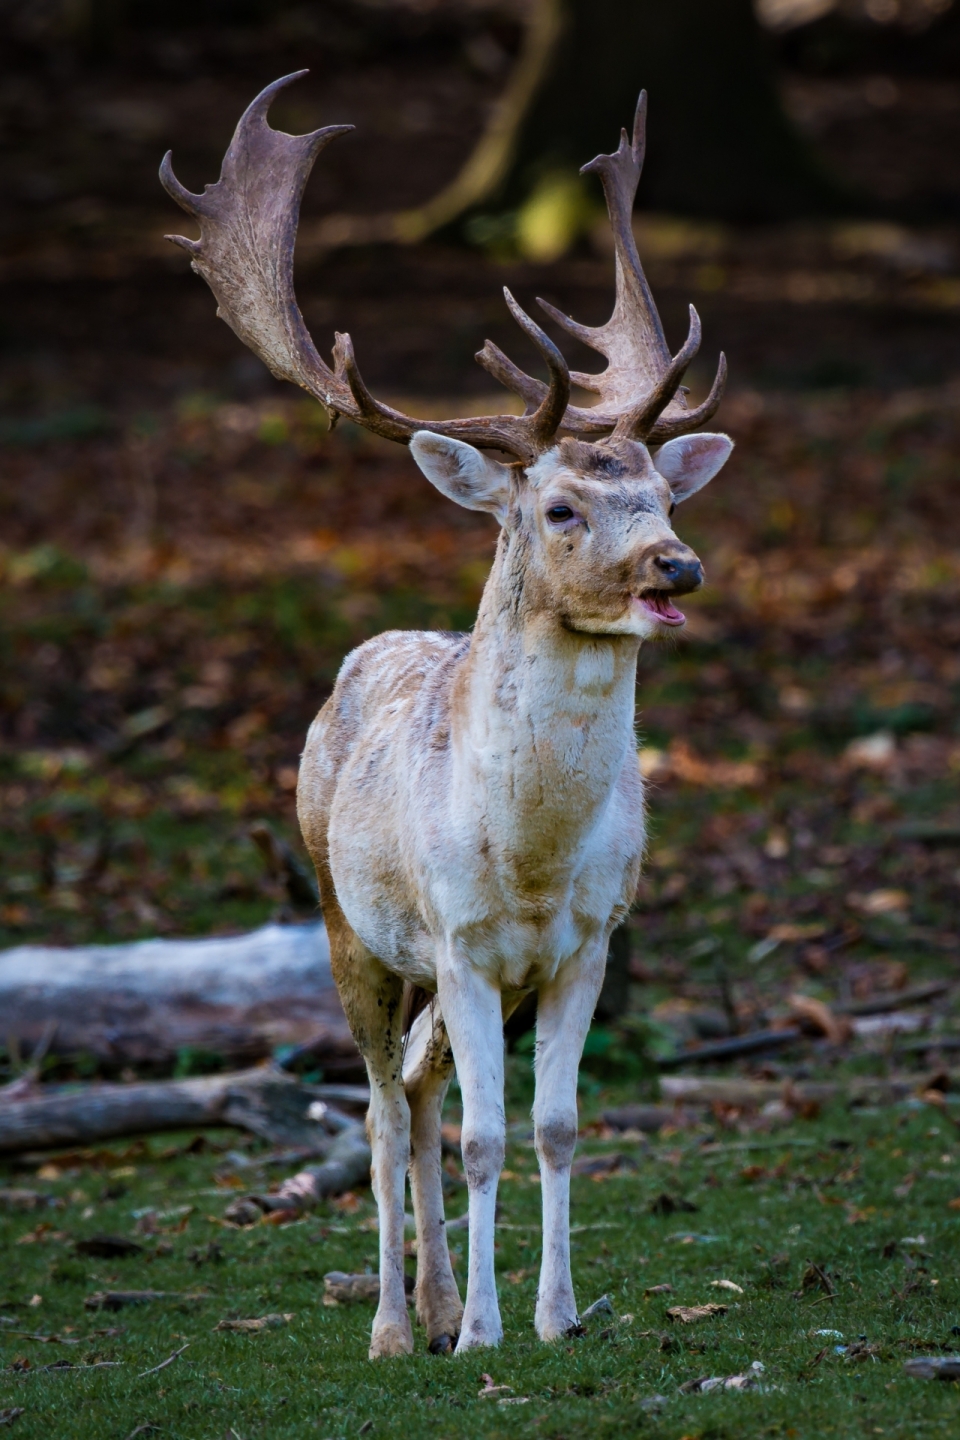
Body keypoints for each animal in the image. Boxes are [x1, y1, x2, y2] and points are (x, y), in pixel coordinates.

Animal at [161, 73, 736, 1359]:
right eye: (561, 507)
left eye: (667, 495)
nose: (677, 566)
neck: (527, 860)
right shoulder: (464, 943)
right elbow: (481, 1136)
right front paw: (481, 1334)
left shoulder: (589, 940)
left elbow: (553, 1128)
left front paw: (552, 1318)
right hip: (346, 924)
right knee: (381, 1109)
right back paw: (392, 1322)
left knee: (420, 1090)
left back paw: (426, 1302)